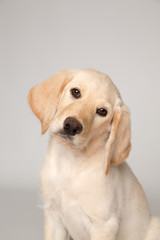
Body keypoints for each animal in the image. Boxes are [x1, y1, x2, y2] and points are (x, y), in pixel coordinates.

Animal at [28, 69, 159, 240]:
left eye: (102, 112)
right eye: (75, 92)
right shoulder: (53, 216)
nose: (72, 126)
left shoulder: (104, 225)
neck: (70, 164)